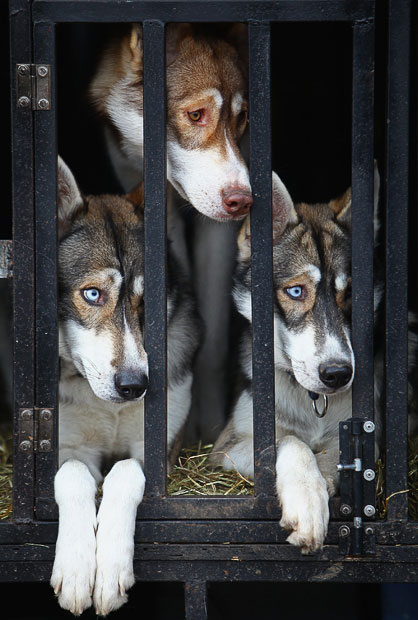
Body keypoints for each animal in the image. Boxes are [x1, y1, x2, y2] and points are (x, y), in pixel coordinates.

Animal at [51, 156, 200, 616]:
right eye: (92, 294)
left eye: (146, 303)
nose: (135, 386)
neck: (108, 407)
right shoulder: (69, 447)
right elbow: (72, 475)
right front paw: (77, 569)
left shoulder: (159, 449)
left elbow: (124, 472)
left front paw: (111, 571)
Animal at [88, 23, 251, 440]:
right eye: (196, 114)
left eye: (242, 118)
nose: (243, 201)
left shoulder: (216, 229)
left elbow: (212, 341)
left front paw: (207, 424)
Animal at [211, 170, 384, 552]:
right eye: (296, 291)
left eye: (351, 293)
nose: (337, 374)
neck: (313, 403)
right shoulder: (225, 447)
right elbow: (291, 442)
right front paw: (307, 499)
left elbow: (339, 454)